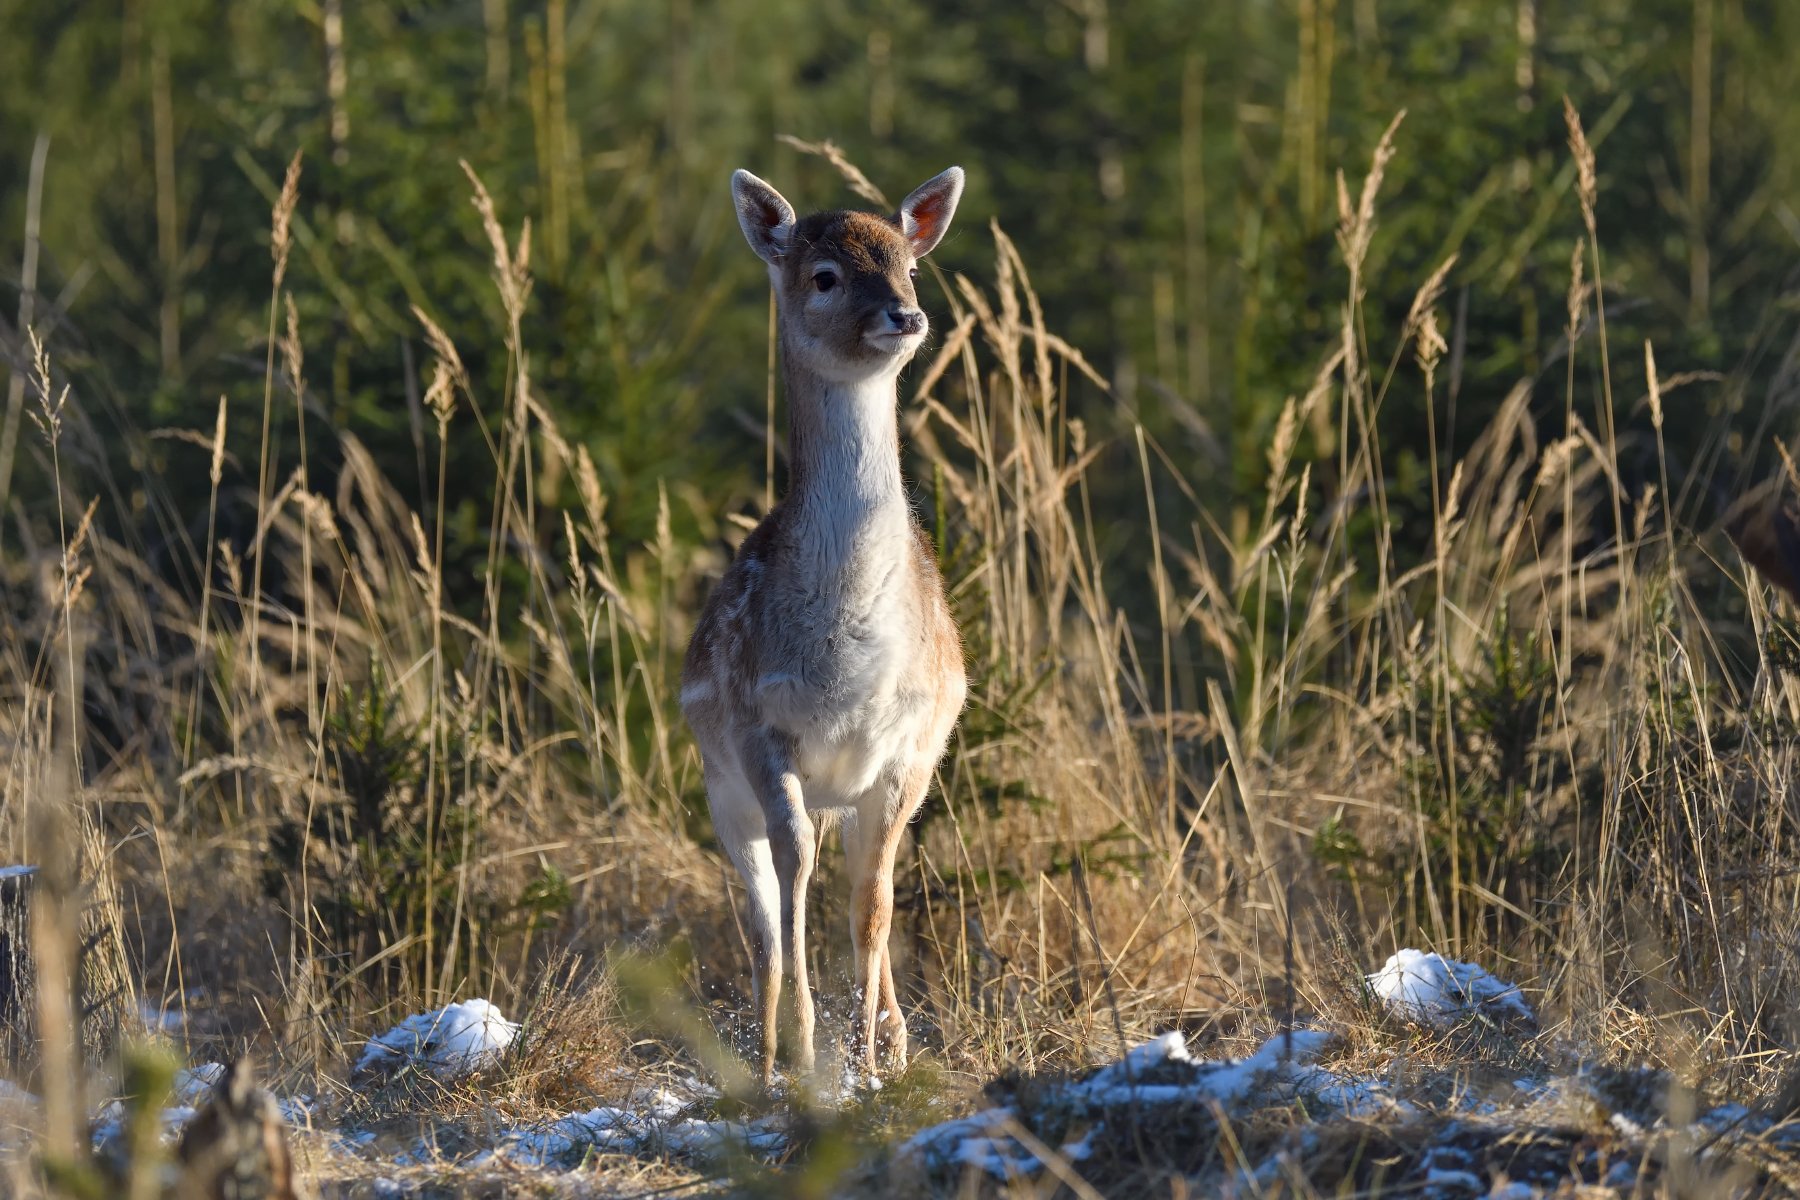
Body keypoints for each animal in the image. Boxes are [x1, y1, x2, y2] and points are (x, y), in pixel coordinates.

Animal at [680, 161, 972, 1086]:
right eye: (824, 276)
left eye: (909, 266)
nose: (904, 316)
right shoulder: (760, 730)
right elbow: (793, 878)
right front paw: (810, 1051)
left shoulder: (910, 748)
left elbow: (874, 901)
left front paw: (871, 1060)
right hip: (719, 790)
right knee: (765, 928)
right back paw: (769, 1056)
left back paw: (893, 1033)